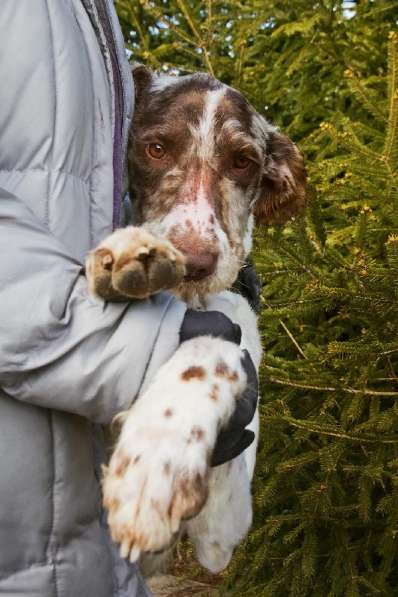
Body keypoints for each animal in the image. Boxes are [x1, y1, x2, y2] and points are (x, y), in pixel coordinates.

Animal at [85, 67, 306, 576]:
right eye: (156, 148)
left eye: (242, 162)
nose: (194, 263)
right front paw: (132, 251)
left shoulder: (222, 533)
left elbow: (214, 348)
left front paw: (156, 457)